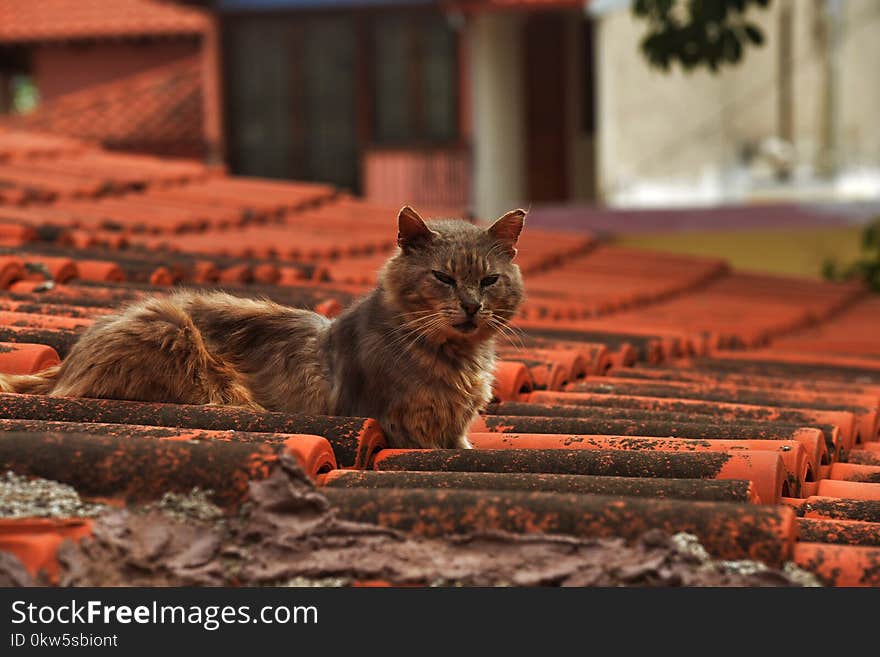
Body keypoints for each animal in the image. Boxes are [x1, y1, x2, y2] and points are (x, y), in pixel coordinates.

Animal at [1, 208, 524, 448]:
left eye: (489, 280)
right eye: (443, 278)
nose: (472, 306)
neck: (457, 360)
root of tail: (66, 361)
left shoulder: (455, 435)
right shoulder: (403, 426)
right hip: (179, 339)